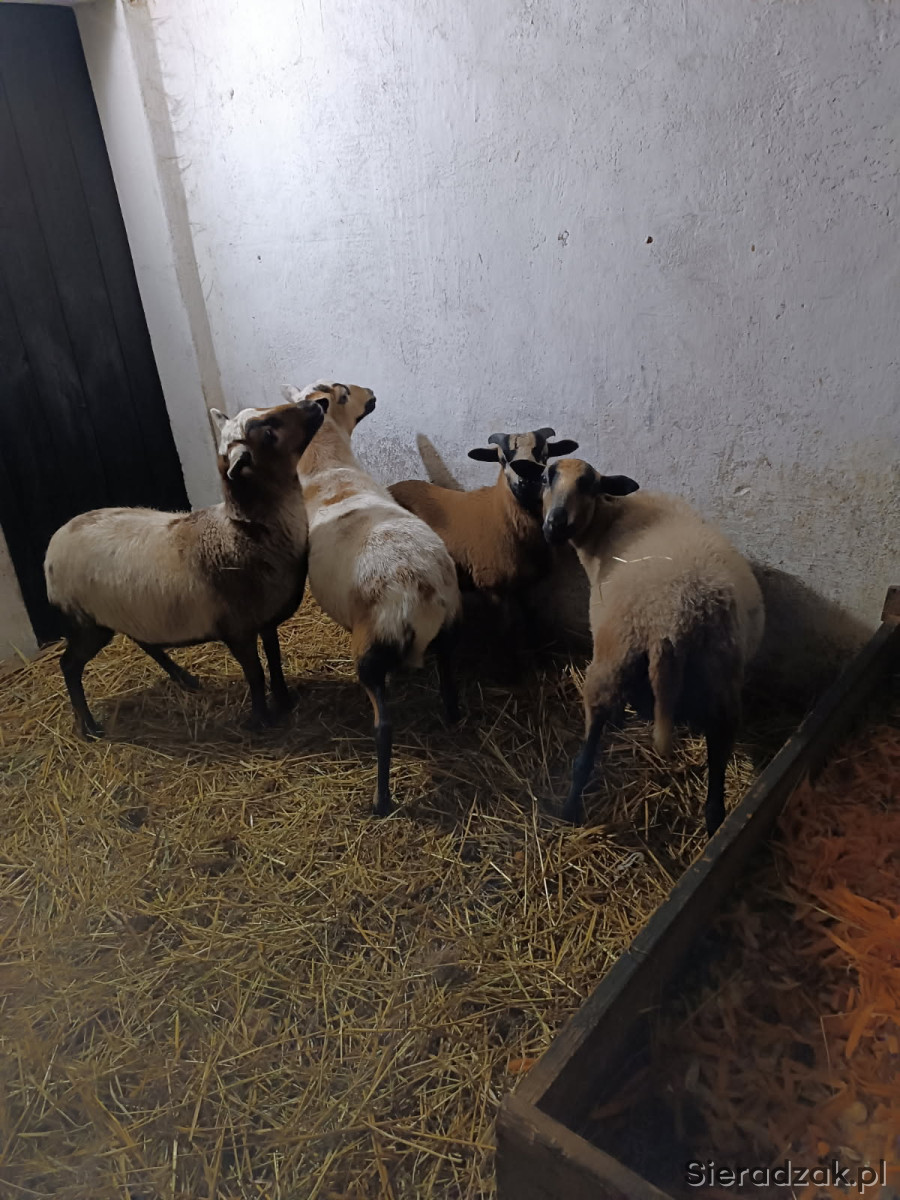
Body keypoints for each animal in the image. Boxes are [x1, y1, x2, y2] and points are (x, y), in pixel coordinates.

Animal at [44, 399, 325, 738]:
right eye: (269, 434)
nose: (315, 403)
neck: (242, 533)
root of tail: (55, 542)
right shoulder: (237, 629)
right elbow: (255, 673)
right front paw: (260, 719)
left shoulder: (266, 620)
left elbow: (275, 660)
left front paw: (284, 701)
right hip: (87, 623)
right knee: (69, 665)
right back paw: (88, 726)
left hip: (130, 610)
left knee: (144, 641)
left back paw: (184, 678)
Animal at [284, 379, 462, 816]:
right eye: (344, 393)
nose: (372, 392)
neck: (329, 468)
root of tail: (421, 589)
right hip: (450, 627)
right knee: (450, 684)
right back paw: (452, 719)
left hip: (370, 649)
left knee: (384, 726)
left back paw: (381, 801)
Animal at [388, 428, 578, 669]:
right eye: (503, 459)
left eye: (544, 455)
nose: (527, 481)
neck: (503, 515)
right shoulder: (492, 586)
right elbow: (505, 632)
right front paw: (511, 670)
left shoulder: (527, 584)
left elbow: (533, 621)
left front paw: (542, 660)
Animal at [542, 458, 765, 837]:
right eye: (547, 477)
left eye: (588, 484)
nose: (555, 524)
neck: (605, 524)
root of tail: (673, 619)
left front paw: (620, 718)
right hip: (721, 677)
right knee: (718, 757)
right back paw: (714, 825)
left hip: (613, 656)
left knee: (586, 752)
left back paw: (569, 811)